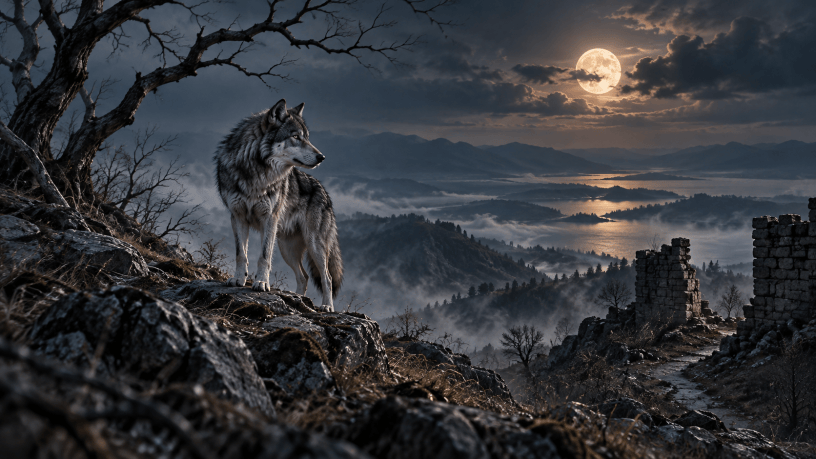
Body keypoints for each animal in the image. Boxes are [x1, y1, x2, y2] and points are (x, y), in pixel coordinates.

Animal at [214, 99, 343, 311]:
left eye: (307, 138)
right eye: (296, 137)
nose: (322, 157)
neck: (256, 171)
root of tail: (325, 192)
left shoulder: (269, 218)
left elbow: (264, 256)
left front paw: (261, 283)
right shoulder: (237, 216)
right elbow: (241, 254)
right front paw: (238, 279)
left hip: (314, 244)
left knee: (327, 277)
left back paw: (326, 307)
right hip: (286, 248)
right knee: (304, 277)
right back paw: (299, 299)